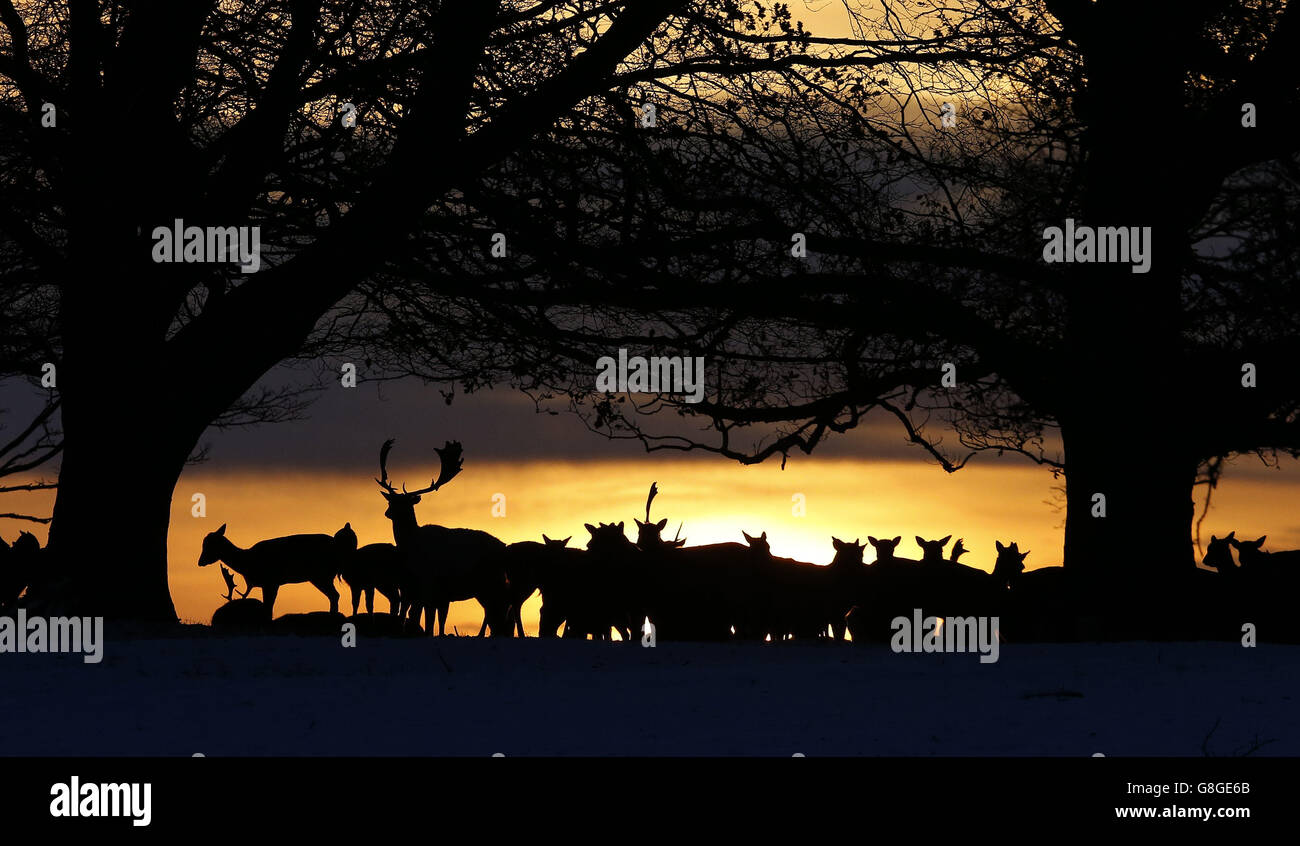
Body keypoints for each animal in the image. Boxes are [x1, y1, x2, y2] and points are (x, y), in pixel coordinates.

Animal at [196, 522, 351, 615]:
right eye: (204, 543)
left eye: (210, 545)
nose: (200, 562)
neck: (248, 562)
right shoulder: (274, 584)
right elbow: (269, 606)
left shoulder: (270, 581)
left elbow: (268, 607)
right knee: (334, 595)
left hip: (321, 575)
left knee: (334, 595)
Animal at [374, 439, 509, 639]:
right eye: (391, 501)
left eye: (406, 504)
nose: (387, 512)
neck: (411, 546)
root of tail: (505, 549)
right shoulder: (423, 591)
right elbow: (428, 618)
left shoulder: (429, 584)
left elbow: (428, 621)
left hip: (490, 582)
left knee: (497, 611)